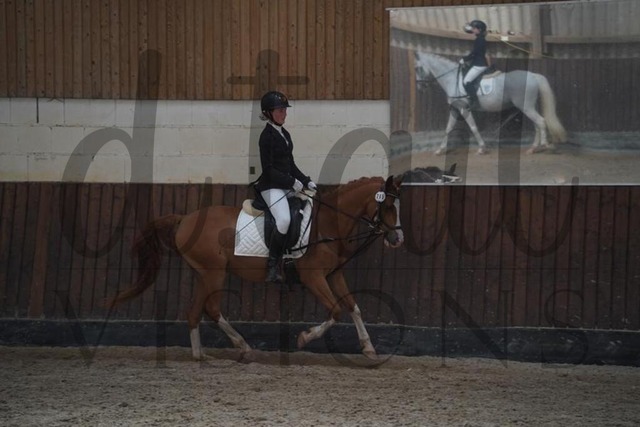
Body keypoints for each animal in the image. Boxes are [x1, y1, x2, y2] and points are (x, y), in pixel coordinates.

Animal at [108, 176, 404, 360]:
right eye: (389, 205)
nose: (397, 239)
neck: (329, 222)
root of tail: (184, 220)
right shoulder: (314, 277)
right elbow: (336, 311)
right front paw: (304, 338)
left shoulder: (334, 274)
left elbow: (354, 308)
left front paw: (368, 348)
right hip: (214, 273)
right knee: (211, 309)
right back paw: (243, 346)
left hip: (205, 274)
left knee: (194, 312)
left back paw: (200, 354)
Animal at [414, 51, 567, 155]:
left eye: (417, 68)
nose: (420, 87)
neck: (453, 79)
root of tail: (533, 75)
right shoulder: (455, 109)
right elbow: (448, 128)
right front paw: (440, 150)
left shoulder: (464, 109)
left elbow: (473, 127)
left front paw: (482, 148)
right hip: (529, 107)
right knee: (537, 125)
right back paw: (533, 148)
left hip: (526, 107)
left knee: (541, 122)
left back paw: (545, 145)